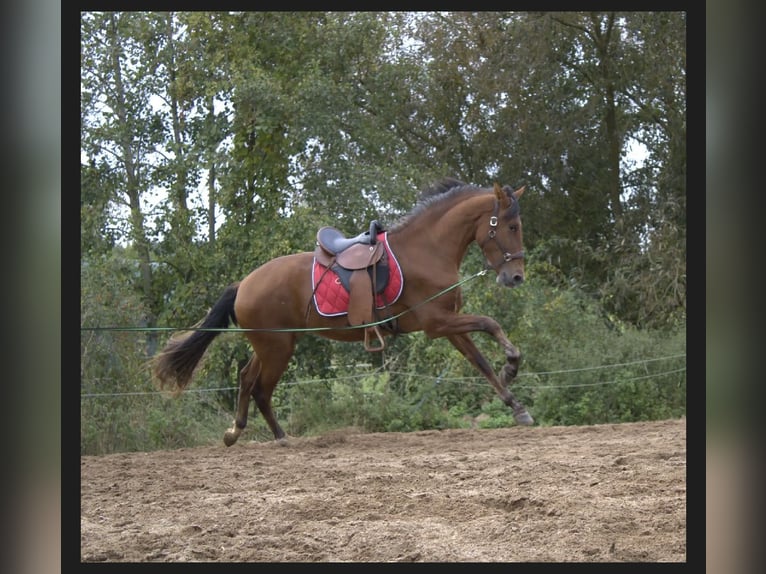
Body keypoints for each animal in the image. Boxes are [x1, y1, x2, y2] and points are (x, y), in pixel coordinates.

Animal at [150, 178, 536, 448]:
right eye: (511, 226)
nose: (516, 277)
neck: (427, 250)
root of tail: (243, 284)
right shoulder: (436, 323)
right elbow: (490, 323)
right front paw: (512, 365)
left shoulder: (450, 326)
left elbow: (480, 361)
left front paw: (514, 403)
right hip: (277, 348)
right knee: (260, 387)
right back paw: (273, 435)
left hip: (274, 344)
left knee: (247, 378)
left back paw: (241, 432)